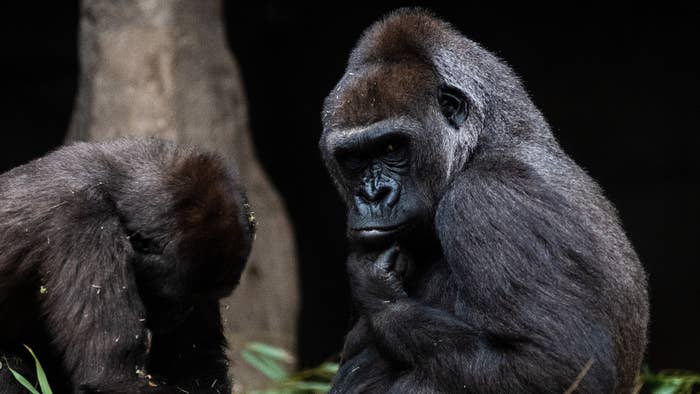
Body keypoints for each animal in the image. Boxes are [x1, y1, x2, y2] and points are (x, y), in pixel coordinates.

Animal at [0, 138, 258, 390]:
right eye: (172, 299)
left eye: (195, 302)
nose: (177, 319)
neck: (114, 191)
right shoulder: (84, 222)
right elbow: (111, 376)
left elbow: (199, 368)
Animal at [320, 9, 648, 394]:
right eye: (354, 158)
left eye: (391, 147)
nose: (373, 196)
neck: (486, 143)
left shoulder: (488, 198)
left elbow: (556, 366)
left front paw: (378, 294)